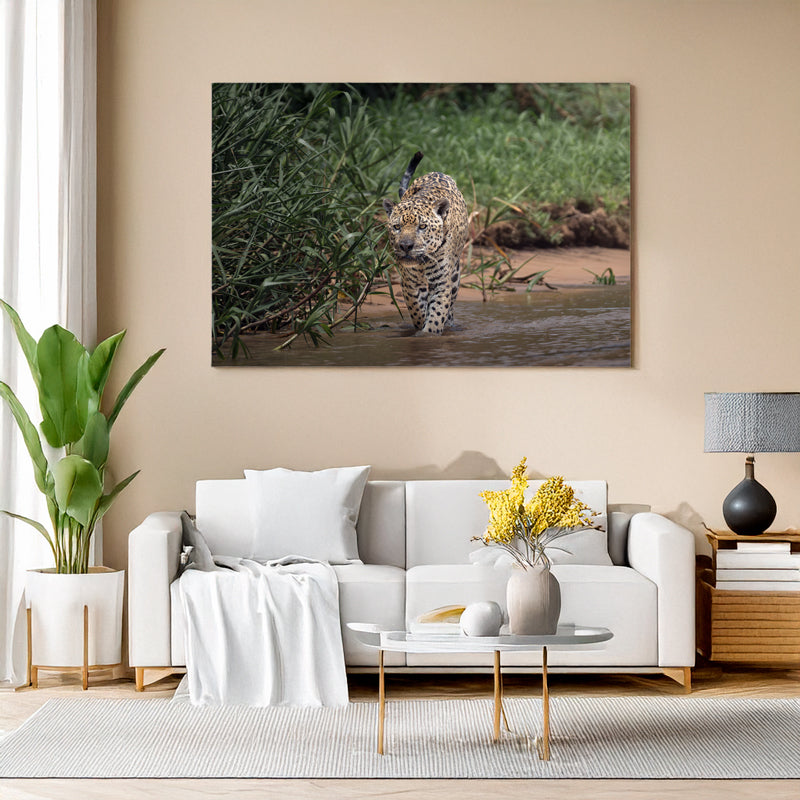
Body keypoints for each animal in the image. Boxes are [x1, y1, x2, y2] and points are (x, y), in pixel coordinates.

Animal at [382, 152, 469, 335]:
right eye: (397, 227)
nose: (406, 246)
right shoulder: (410, 283)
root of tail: (437, 172)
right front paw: (420, 327)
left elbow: (437, 312)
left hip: (455, 275)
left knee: (451, 306)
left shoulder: (442, 282)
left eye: (422, 227)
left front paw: (429, 333)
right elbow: (417, 309)